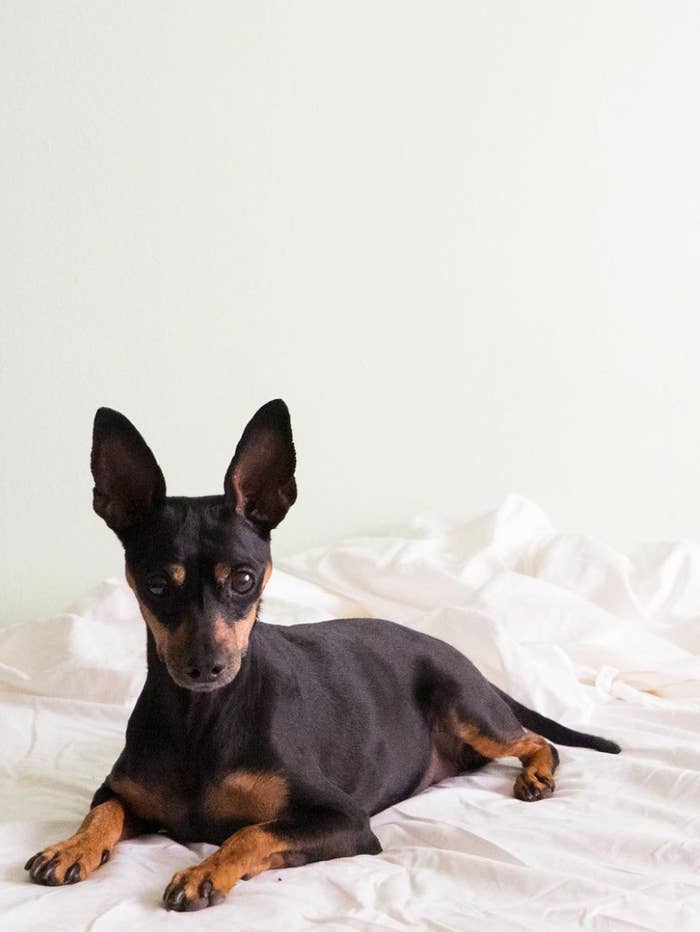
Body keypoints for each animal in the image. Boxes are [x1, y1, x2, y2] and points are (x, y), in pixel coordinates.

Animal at [24, 400, 620, 912]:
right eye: (155, 585)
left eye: (244, 579)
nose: (204, 667)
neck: (202, 716)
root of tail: (454, 652)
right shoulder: (118, 790)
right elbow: (102, 813)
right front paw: (72, 846)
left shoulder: (345, 820)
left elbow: (250, 832)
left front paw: (204, 871)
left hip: (467, 708)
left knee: (536, 740)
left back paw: (536, 776)